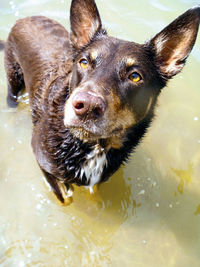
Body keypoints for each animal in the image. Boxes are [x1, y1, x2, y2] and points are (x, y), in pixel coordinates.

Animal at [0, 1, 200, 204]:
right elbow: (66, 198)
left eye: (135, 76)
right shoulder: (43, 163)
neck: (94, 146)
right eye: (84, 62)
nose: (87, 106)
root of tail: (25, 19)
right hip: (13, 80)